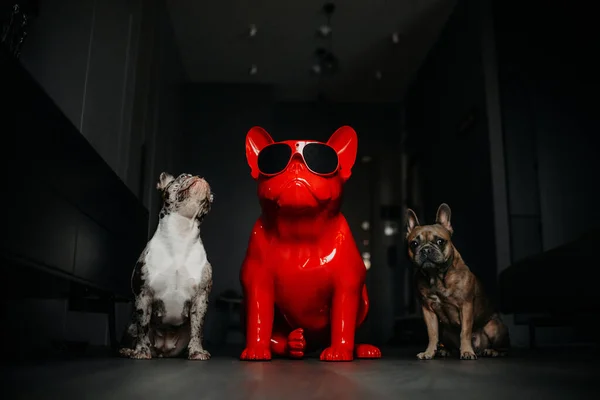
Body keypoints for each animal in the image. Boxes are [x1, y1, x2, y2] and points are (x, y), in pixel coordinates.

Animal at [118, 171, 214, 360]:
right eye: (183, 176)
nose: (200, 177)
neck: (181, 233)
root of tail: (163, 349)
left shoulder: (200, 297)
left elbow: (197, 328)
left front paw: (197, 351)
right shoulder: (144, 295)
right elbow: (143, 327)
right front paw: (141, 351)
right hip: (130, 326)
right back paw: (128, 350)